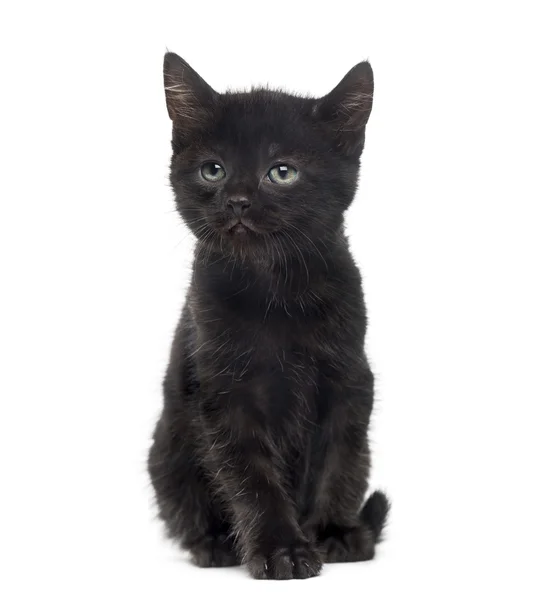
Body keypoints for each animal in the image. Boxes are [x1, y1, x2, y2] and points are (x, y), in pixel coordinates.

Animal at [149, 54, 388, 580]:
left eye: (282, 172)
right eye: (213, 170)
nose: (237, 199)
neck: (276, 292)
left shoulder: (349, 379)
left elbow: (341, 459)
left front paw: (334, 533)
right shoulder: (224, 392)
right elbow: (251, 478)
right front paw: (283, 550)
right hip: (168, 451)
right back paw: (214, 545)